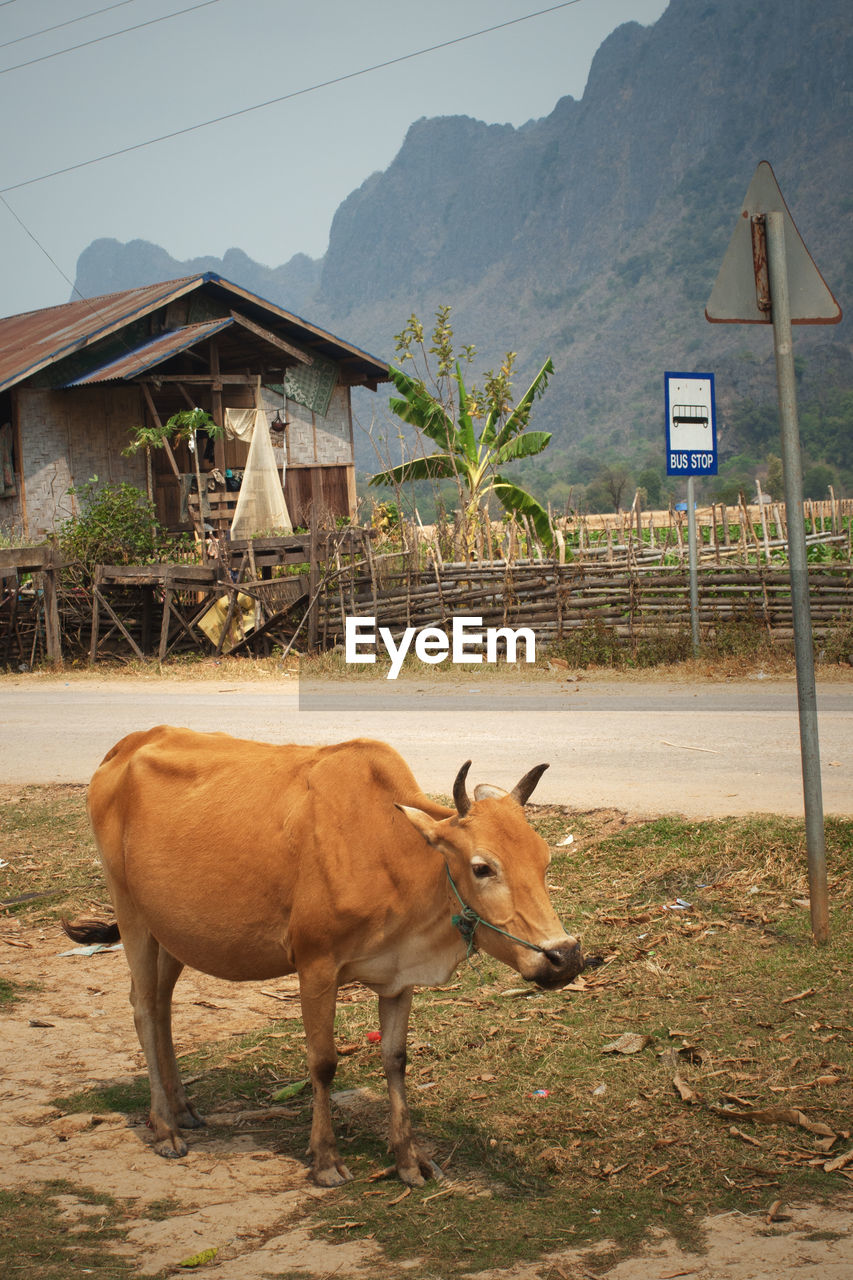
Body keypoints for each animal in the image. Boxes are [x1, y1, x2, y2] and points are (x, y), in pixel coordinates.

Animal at [66, 732, 581, 1187]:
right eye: (482, 867)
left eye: (543, 859)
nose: (564, 956)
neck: (391, 851)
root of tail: (126, 746)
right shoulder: (315, 966)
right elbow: (323, 1062)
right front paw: (326, 1160)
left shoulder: (398, 977)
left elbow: (395, 1059)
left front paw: (408, 1161)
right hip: (131, 912)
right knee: (142, 1007)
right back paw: (164, 1128)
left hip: (172, 931)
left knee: (162, 1007)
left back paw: (183, 1109)